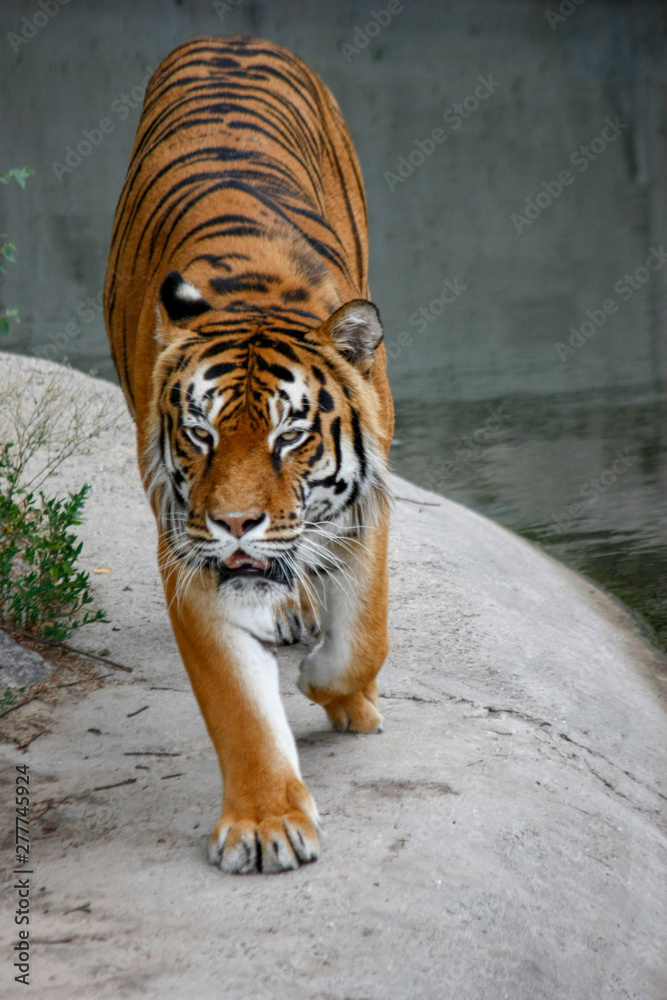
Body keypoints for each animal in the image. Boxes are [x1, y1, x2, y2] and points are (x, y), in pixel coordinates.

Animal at [104, 35, 394, 874]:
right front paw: (265, 823)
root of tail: (228, 38)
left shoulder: (367, 504)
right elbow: (236, 704)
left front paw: (342, 696)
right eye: (200, 434)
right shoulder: (186, 545)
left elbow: (362, 635)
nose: (236, 524)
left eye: (288, 436)